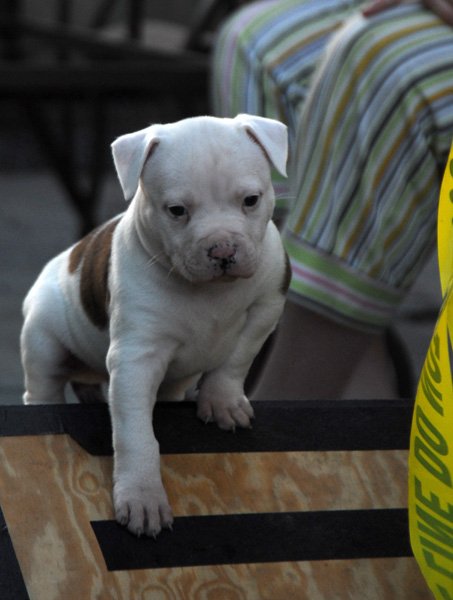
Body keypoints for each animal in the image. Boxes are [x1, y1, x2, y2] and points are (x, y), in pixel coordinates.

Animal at [20, 115, 290, 536]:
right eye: (177, 210)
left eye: (251, 200)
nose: (222, 250)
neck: (208, 292)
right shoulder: (136, 358)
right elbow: (135, 434)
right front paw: (142, 496)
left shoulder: (267, 305)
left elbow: (236, 359)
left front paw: (223, 401)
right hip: (43, 340)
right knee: (42, 386)